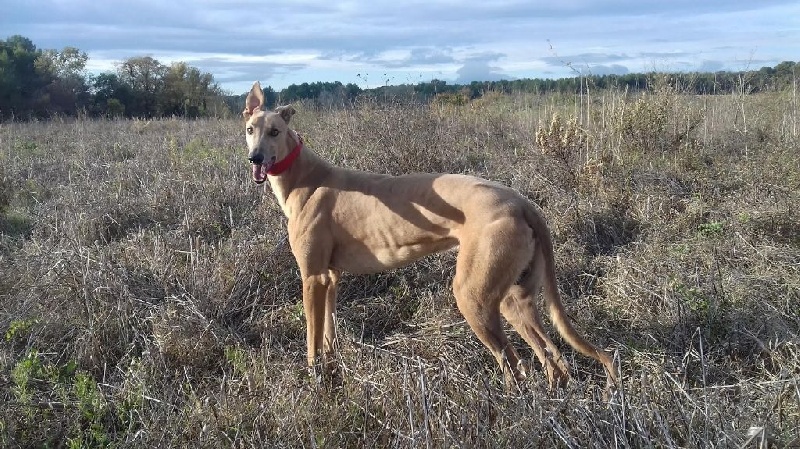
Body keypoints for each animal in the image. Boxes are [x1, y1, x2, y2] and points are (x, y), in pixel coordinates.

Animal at [242, 81, 618, 390]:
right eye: (249, 130)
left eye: (275, 131)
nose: (255, 158)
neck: (304, 177)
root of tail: (522, 201)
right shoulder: (330, 279)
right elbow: (329, 336)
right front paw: (333, 374)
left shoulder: (312, 277)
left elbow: (312, 340)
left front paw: (314, 380)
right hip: (515, 299)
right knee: (551, 356)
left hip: (473, 297)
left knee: (513, 362)